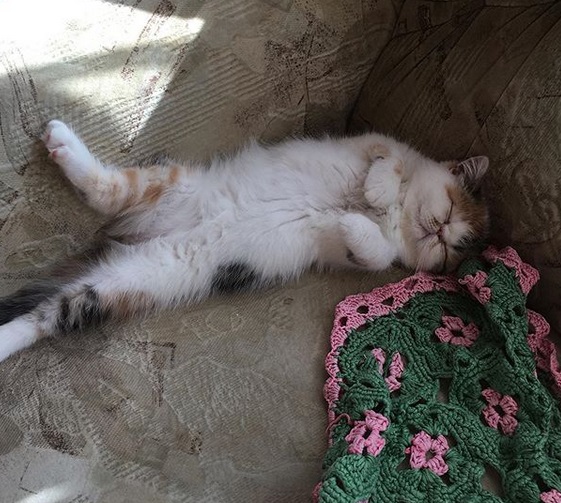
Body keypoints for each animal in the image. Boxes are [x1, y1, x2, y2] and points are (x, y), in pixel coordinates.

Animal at [0, 119, 488, 362]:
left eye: (448, 250)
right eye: (449, 213)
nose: (439, 232)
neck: (395, 217)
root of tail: (143, 235)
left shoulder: (353, 256)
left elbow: (377, 252)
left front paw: (351, 219)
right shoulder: (372, 142)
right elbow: (391, 161)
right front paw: (376, 191)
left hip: (138, 278)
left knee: (55, 313)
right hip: (172, 189)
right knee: (106, 190)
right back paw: (64, 142)